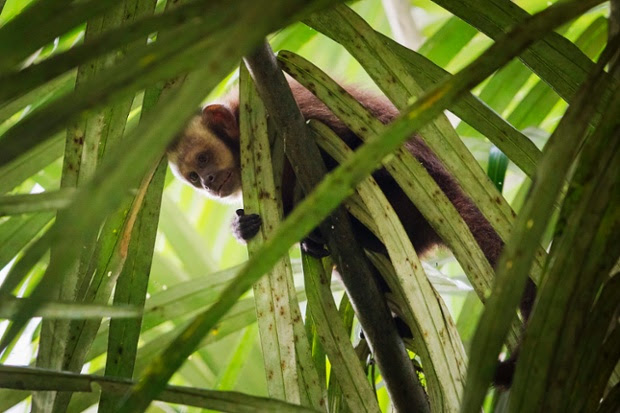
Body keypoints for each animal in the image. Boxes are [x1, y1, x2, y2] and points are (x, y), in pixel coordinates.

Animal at [167, 79, 536, 386]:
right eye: (193, 176)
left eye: (204, 158)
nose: (208, 183)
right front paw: (242, 227)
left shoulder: (288, 106)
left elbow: (341, 139)